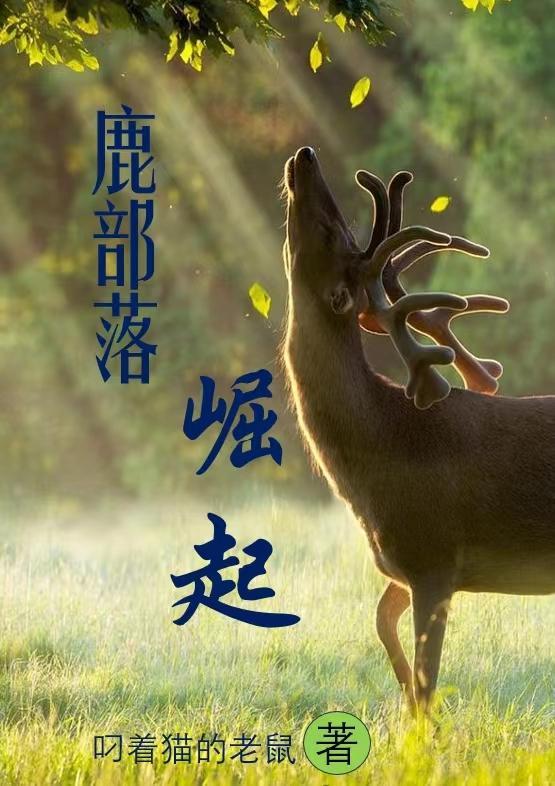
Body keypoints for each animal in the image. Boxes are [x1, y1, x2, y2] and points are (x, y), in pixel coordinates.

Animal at [281, 146, 555, 715]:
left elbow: (429, 682)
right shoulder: (401, 564)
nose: (305, 155)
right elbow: (382, 626)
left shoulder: (434, 557)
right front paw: (402, 699)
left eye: (330, 232)